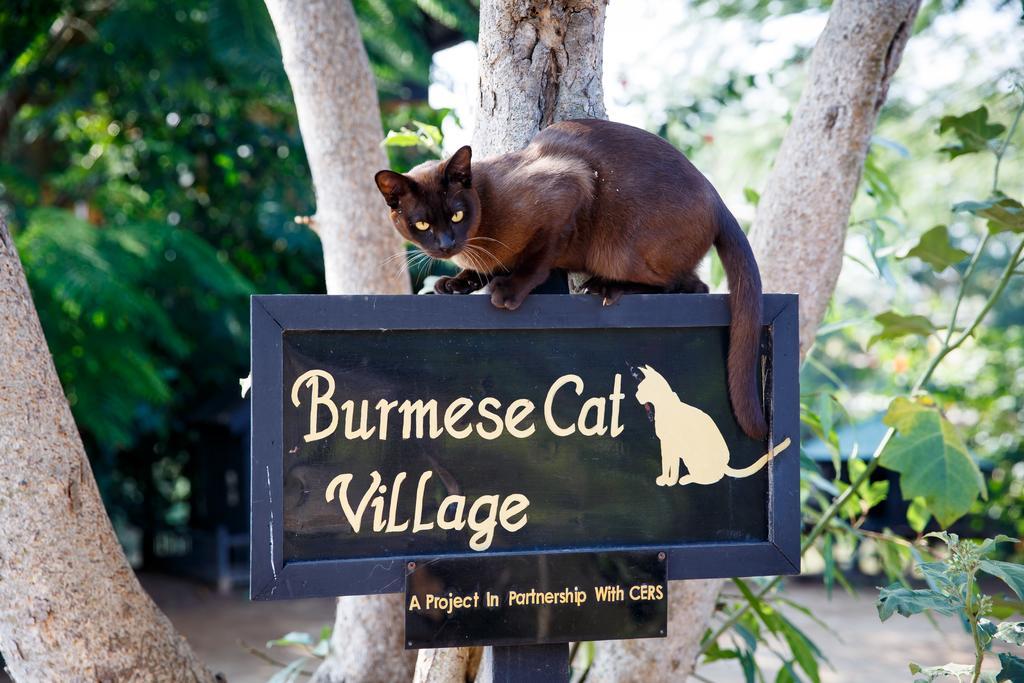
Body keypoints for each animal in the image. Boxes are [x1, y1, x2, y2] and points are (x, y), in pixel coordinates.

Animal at [376, 118, 770, 438]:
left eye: (457, 215)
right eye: (422, 224)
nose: (446, 244)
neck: (478, 232)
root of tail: (720, 202)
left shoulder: (567, 189)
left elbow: (536, 261)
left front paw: (507, 292)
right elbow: (484, 269)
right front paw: (455, 284)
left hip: (620, 250)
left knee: (687, 286)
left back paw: (605, 287)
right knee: (692, 285)